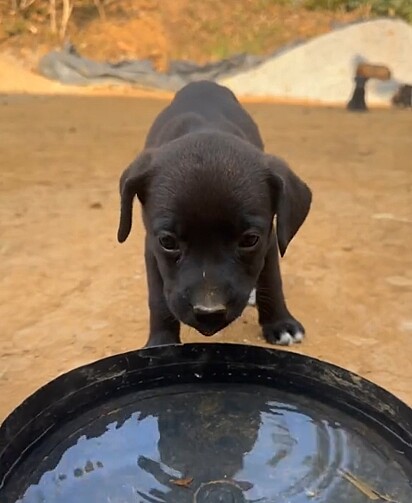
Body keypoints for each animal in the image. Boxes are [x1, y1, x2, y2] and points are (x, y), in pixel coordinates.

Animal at [117, 81, 310, 346]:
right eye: (168, 241)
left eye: (249, 240)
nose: (209, 313)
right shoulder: (152, 248)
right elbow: (158, 298)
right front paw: (161, 342)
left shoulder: (270, 240)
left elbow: (272, 279)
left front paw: (280, 323)